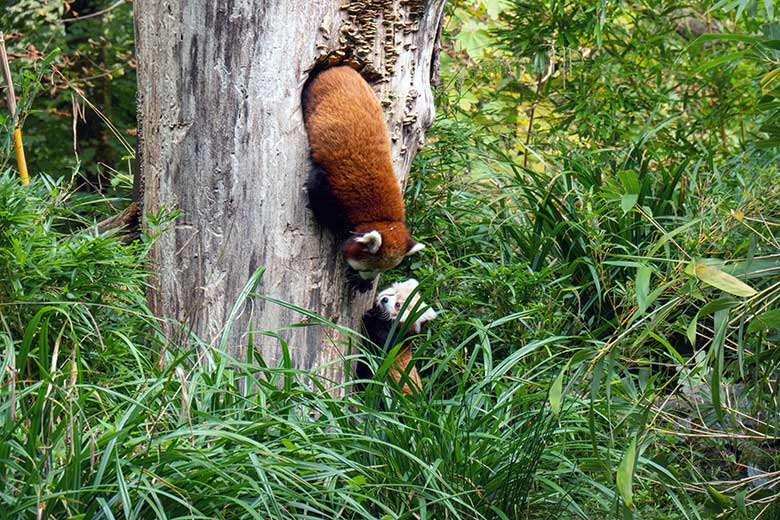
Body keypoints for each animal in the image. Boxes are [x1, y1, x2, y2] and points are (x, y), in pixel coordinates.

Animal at [302, 66, 424, 290]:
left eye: (382, 271)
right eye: (367, 268)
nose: (368, 279)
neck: (381, 218)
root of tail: (339, 68)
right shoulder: (330, 186)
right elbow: (317, 190)